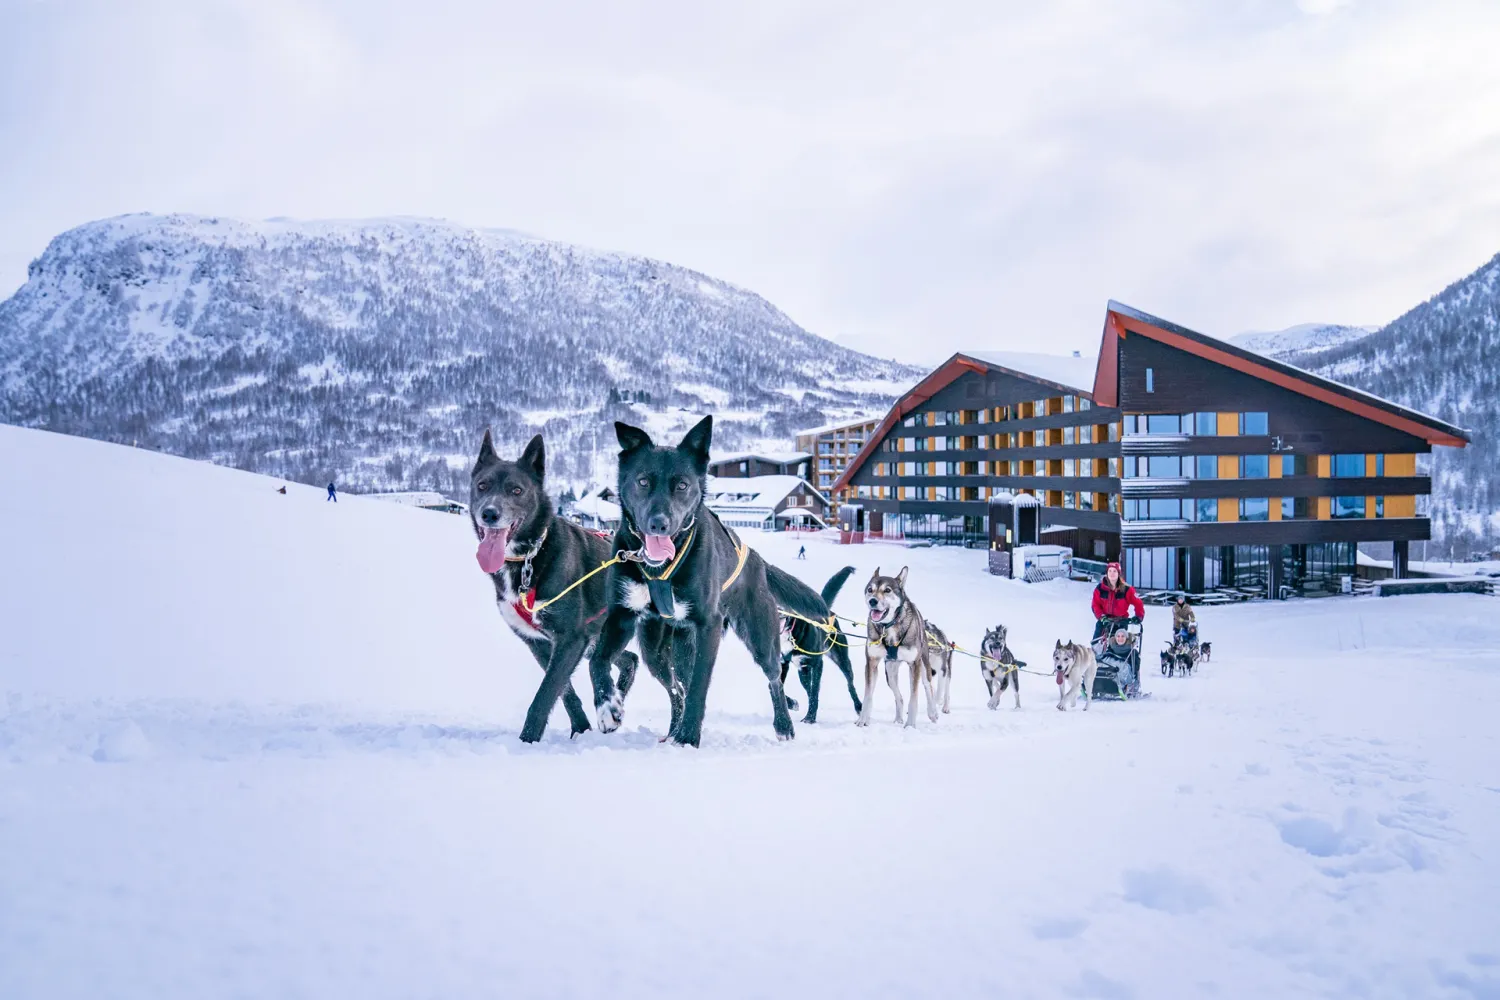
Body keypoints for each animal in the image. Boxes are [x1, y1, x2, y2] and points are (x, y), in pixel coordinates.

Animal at [471, 431, 642, 743]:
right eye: (482, 486)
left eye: (516, 490)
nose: (489, 513)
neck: (530, 557)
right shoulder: (540, 642)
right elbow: (564, 692)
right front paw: (581, 729)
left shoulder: (570, 639)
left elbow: (545, 693)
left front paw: (527, 741)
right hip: (596, 638)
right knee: (630, 660)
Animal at [582, 413, 798, 743]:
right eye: (643, 481)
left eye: (682, 485)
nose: (659, 524)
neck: (660, 568)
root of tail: (758, 562)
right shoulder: (622, 615)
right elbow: (597, 661)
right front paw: (608, 707)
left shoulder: (708, 625)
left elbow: (699, 685)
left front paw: (688, 738)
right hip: (658, 651)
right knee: (675, 689)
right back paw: (671, 731)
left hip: (760, 636)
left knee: (774, 677)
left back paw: (783, 725)